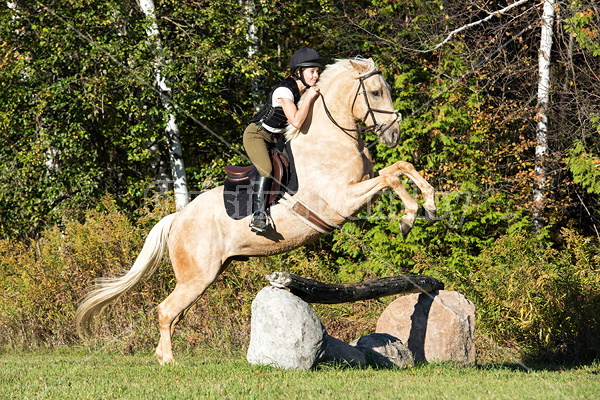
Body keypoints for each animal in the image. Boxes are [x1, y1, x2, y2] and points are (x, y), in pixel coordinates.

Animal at [75, 57, 436, 366]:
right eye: (375, 92)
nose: (394, 133)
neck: (328, 139)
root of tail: (177, 218)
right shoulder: (342, 201)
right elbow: (391, 177)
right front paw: (408, 218)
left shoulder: (360, 185)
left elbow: (401, 167)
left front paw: (430, 207)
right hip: (197, 277)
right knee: (166, 311)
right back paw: (169, 362)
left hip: (205, 276)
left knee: (174, 314)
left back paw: (160, 356)